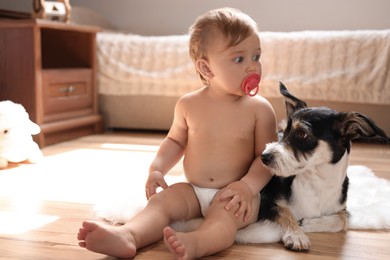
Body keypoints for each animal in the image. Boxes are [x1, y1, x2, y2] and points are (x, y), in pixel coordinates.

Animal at [236, 82, 388, 251]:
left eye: (302, 134)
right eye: (283, 131)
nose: (264, 157)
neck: (317, 180)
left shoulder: (343, 209)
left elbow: (342, 220)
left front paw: (307, 224)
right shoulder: (264, 201)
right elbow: (284, 211)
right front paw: (296, 234)